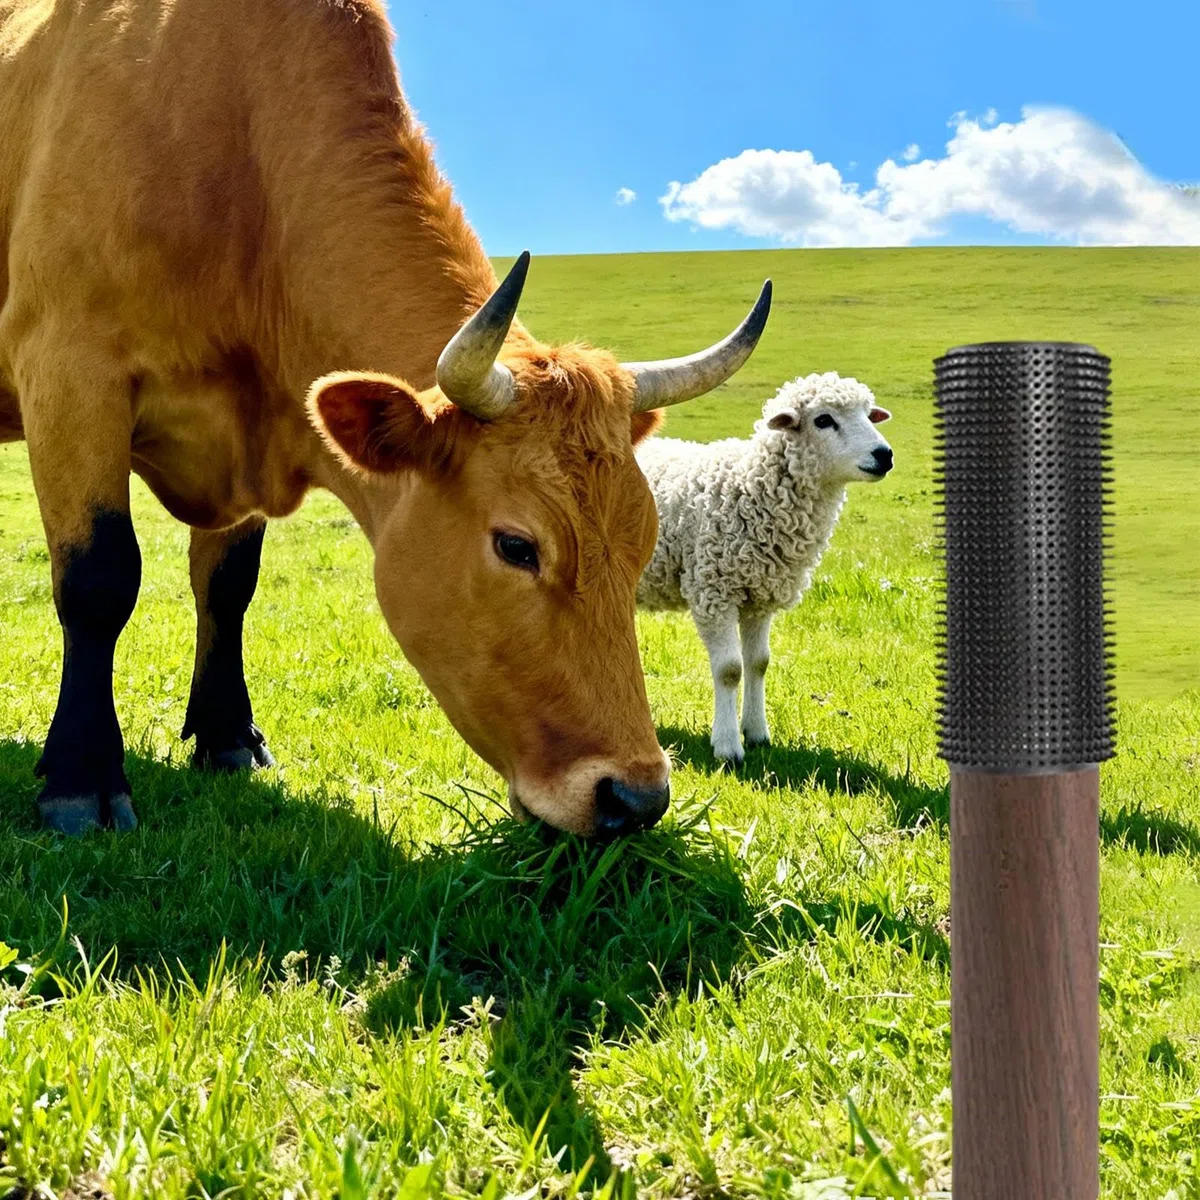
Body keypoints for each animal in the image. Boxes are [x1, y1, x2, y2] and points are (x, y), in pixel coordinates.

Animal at [635, 371, 894, 764]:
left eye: (868, 415)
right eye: (823, 420)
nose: (884, 455)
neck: (749, 487)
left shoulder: (759, 595)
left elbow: (758, 662)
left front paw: (757, 732)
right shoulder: (713, 590)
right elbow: (729, 669)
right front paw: (728, 746)